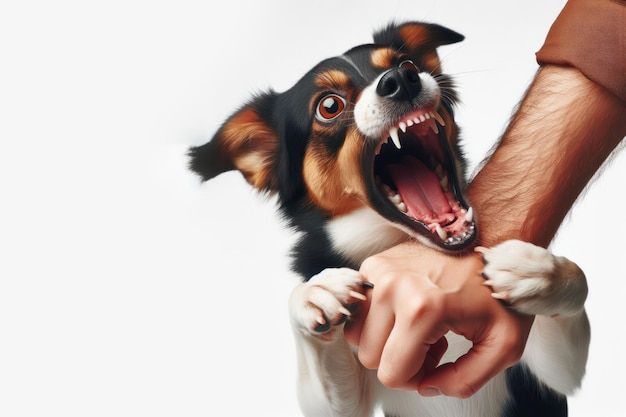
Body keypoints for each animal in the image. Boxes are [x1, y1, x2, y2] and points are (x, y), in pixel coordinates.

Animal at [188, 22, 588, 416]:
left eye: (408, 64)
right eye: (328, 106)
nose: (401, 79)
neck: (394, 242)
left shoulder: (551, 374)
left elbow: (578, 284)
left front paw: (539, 271)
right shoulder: (347, 398)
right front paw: (314, 293)